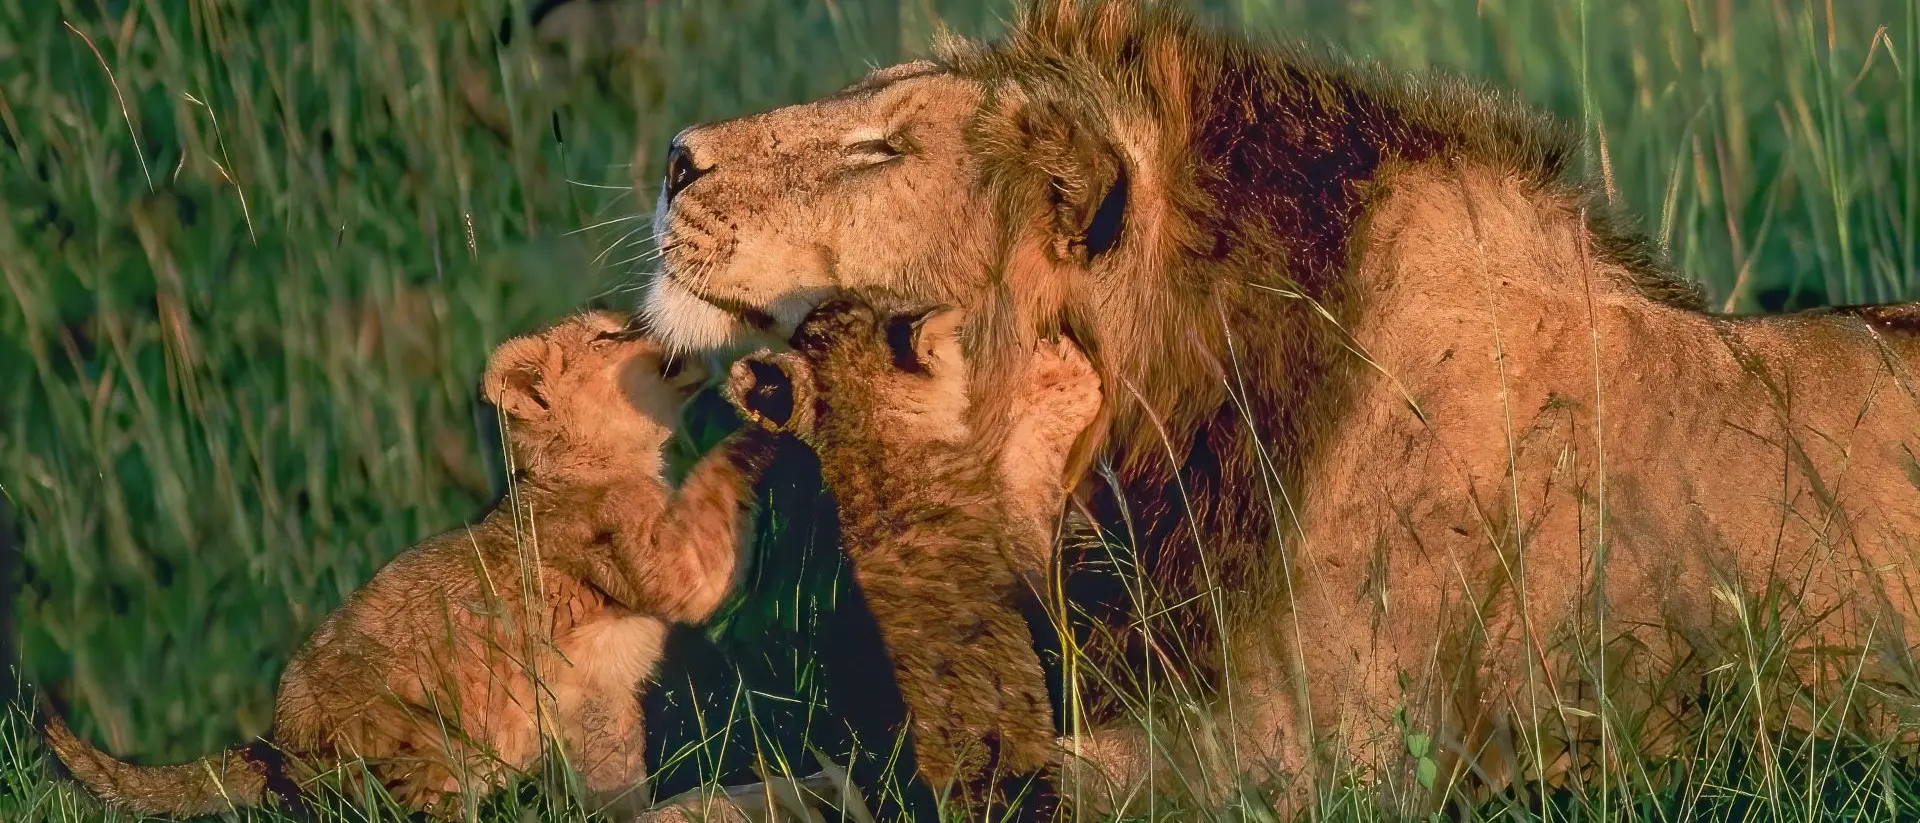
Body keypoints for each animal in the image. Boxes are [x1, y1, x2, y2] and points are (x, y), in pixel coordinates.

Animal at [40, 311, 780, 819]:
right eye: (607, 335)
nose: (660, 321)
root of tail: (275, 742)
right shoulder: (657, 559)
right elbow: (710, 515)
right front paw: (762, 411)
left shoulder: (599, 706)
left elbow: (617, 786)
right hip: (429, 748)